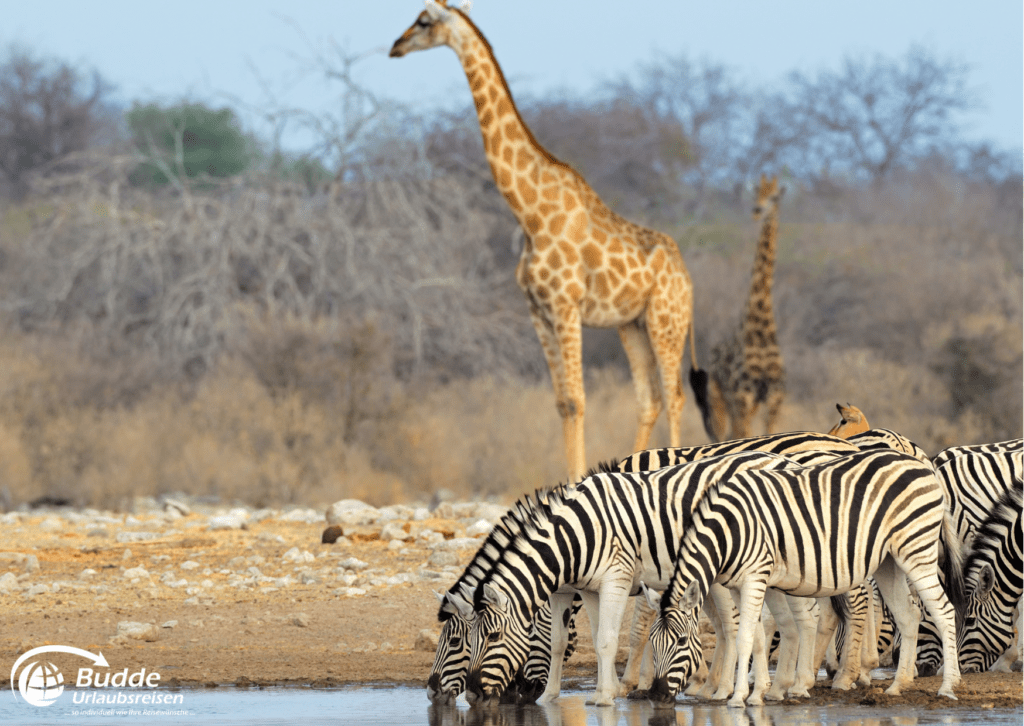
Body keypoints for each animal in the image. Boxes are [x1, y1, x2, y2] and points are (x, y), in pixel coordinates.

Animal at [387, 1, 700, 481]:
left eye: (423, 20)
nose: (395, 47)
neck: (530, 213)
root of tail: (687, 278)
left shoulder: (565, 305)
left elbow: (578, 399)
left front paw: (575, 484)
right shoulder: (537, 310)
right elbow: (562, 402)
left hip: (667, 321)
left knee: (675, 395)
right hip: (632, 324)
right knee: (649, 399)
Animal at [454, 450, 815, 704]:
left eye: (492, 637)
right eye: (466, 640)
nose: (472, 693)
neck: (576, 535)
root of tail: (782, 458)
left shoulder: (615, 578)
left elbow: (607, 639)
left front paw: (606, 696)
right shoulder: (588, 588)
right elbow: (586, 638)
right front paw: (593, 692)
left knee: (756, 623)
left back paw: (753, 688)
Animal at [643, 450, 962, 704]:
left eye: (682, 641)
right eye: (652, 642)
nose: (657, 694)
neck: (729, 529)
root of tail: (922, 464)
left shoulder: (755, 576)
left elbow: (745, 636)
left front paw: (738, 698)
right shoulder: (739, 584)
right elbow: (757, 637)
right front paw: (758, 693)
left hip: (917, 549)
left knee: (944, 611)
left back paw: (948, 687)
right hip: (889, 561)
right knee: (909, 615)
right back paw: (899, 685)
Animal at [692, 174, 786, 442]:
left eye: (774, 197)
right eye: (756, 193)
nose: (756, 211)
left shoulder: (774, 399)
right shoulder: (742, 397)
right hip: (720, 397)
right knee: (722, 435)